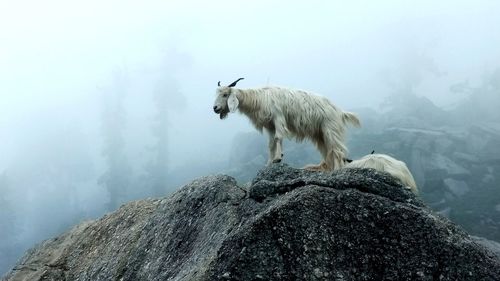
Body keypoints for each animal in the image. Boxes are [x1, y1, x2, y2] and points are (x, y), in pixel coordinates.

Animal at [211, 77, 360, 171]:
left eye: (225, 94)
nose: (215, 108)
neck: (260, 98)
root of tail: (340, 111)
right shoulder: (270, 125)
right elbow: (271, 143)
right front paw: (269, 163)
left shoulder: (278, 118)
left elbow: (278, 137)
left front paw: (278, 158)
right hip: (320, 134)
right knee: (328, 151)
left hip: (330, 129)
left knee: (337, 150)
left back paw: (337, 170)